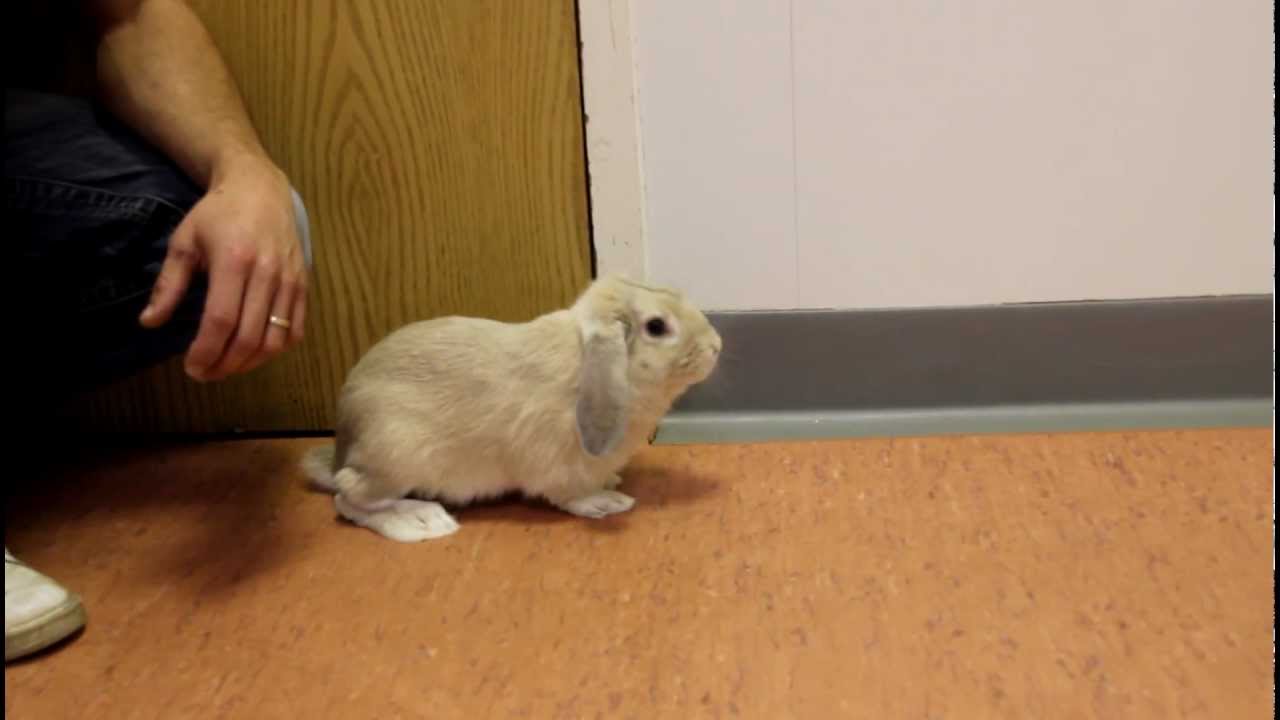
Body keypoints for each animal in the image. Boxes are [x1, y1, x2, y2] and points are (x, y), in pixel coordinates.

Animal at [299, 272, 721, 538]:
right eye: (657, 327)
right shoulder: (556, 467)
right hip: (397, 457)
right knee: (347, 498)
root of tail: (341, 448)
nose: (716, 346)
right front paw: (607, 502)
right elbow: (571, 496)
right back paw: (421, 521)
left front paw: (611, 481)